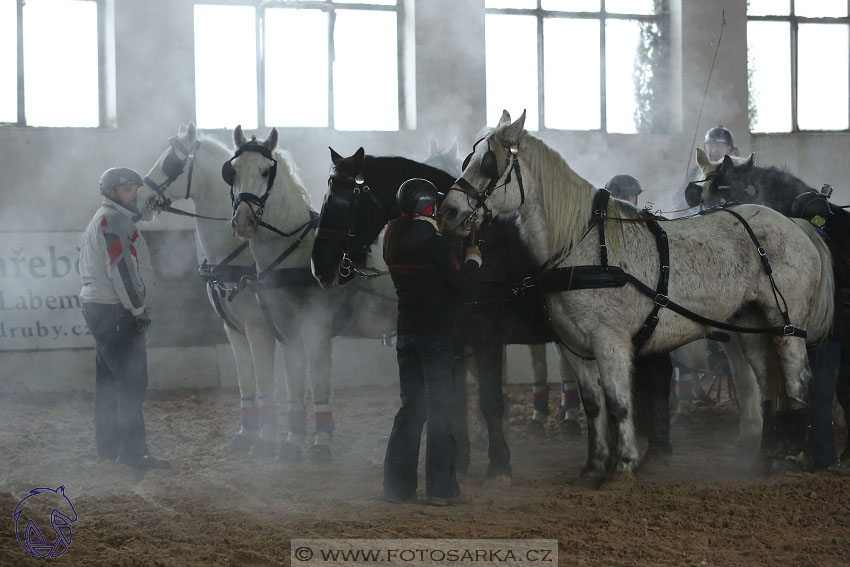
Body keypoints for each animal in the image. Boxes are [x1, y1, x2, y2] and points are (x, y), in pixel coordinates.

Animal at [137, 123, 300, 458]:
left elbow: (264, 381)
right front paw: (245, 435)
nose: (142, 195)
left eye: (170, 162)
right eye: (231, 172)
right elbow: (246, 381)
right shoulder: (233, 329)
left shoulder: (259, 329)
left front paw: (265, 441)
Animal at [225, 125, 398, 462]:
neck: (294, 255)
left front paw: (321, 441)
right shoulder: (287, 331)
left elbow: (317, 380)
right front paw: (292, 442)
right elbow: (294, 383)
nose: (243, 222)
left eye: (265, 171)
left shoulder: (316, 327)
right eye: (233, 171)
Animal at [312, 148, 556, 480]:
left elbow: (490, 400)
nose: (319, 267)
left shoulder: (486, 340)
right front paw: (461, 460)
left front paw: (499, 463)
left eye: (343, 203)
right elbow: (456, 400)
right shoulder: (455, 341)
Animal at [440, 111, 832, 484]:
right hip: (750, 325)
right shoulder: (573, 346)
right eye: (469, 160)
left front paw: (625, 465)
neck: (583, 246)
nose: (449, 210)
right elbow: (593, 406)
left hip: (786, 327)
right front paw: (594, 467)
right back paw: (761, 461)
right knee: (766, 387)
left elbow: (618, 403)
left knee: (798, 383)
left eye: (489, 163)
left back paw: (800, 454)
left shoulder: (609, 341)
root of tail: (795, 225)